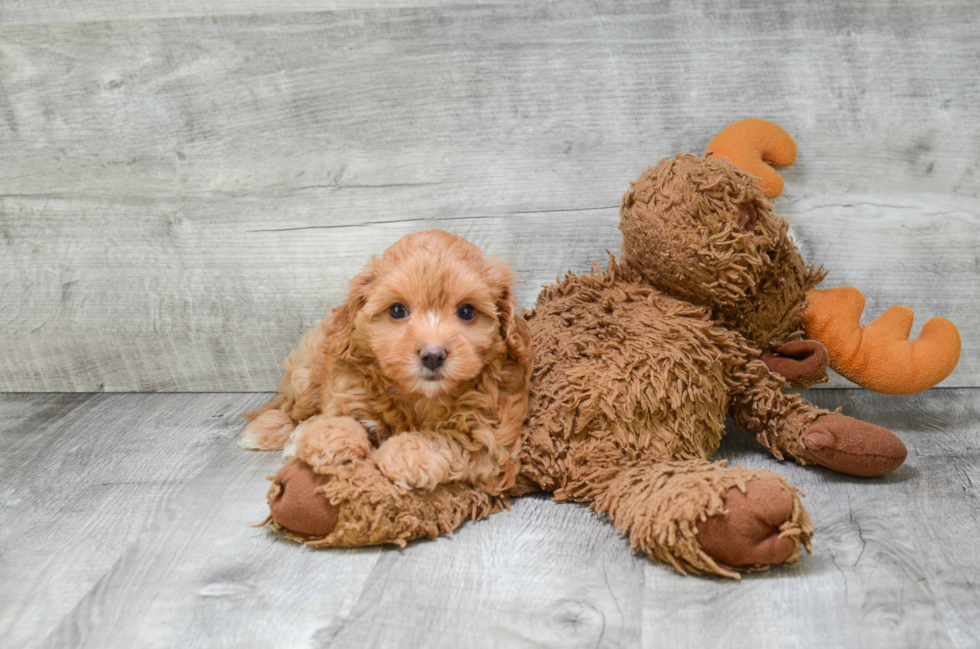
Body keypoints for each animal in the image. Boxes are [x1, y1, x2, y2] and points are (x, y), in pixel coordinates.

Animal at [241, 230, 532, 494]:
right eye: (397, 310)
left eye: (467, 311)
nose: (433, 355)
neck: (419, 397)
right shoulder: (346, 388)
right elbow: (338, 419)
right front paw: (326, 438)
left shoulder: (492, 440)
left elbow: (446, 439)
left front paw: (407, 456)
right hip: (306, 374)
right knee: (290, 408)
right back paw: (265, 430)